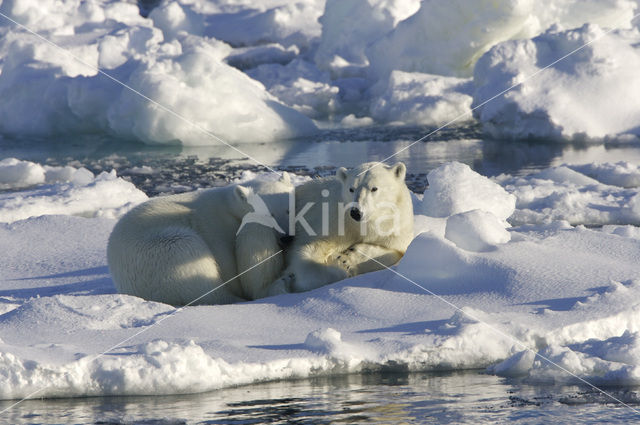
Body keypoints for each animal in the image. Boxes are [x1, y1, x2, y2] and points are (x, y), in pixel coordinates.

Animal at [108, 172, 292, 304]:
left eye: (289, 209)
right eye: (269, 215)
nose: (287, 238)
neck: (230, 206)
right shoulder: (218, 231)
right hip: (158, 255)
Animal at [268, 161, 412, 294]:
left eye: (374, 188)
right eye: (351, 188)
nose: (356, 212)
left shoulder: (395, 227)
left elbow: (395, 251)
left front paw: (346, 258)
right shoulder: (331, 222)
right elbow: (306, 254)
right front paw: (338, 265)